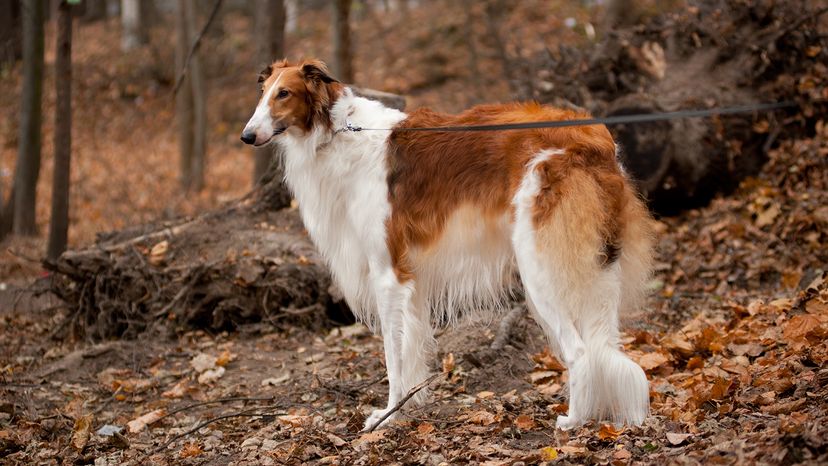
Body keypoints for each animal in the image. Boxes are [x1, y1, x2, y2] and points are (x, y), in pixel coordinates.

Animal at [239, 60, 652, 432]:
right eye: (263, 92)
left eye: (284, 93)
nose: (247, 136)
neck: (339, 133)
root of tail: (597, 140)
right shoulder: (412, 282)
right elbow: (412, 351)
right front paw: (407, 407)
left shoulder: (388, 274)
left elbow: (392, 357)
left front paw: (386, 416)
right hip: (596, 269)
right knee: (603, 348)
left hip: (540, 269)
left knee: (580, 351)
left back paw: (573, 421)